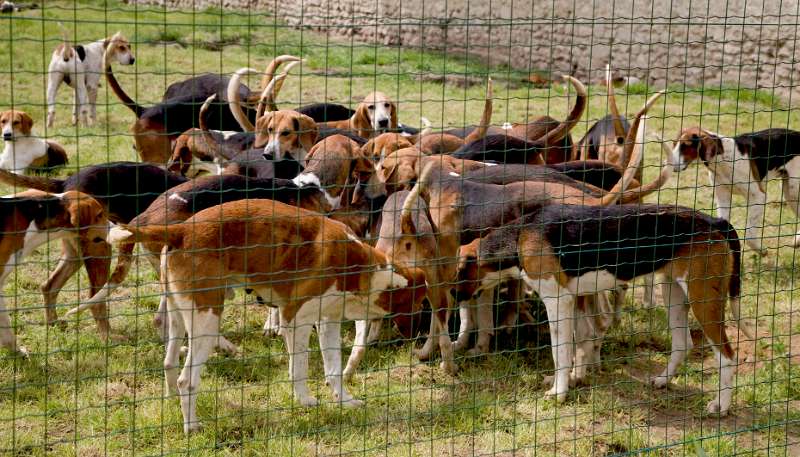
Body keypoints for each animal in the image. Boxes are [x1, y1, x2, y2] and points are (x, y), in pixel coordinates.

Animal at [672, 126, 800, 251]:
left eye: (685, 146)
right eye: (674, 144)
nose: (670, 164)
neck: (722, 158)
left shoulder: (758, 197)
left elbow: (749, 235)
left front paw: (761, 250)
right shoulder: (723, 198)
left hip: (793, 190)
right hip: (788, 193)